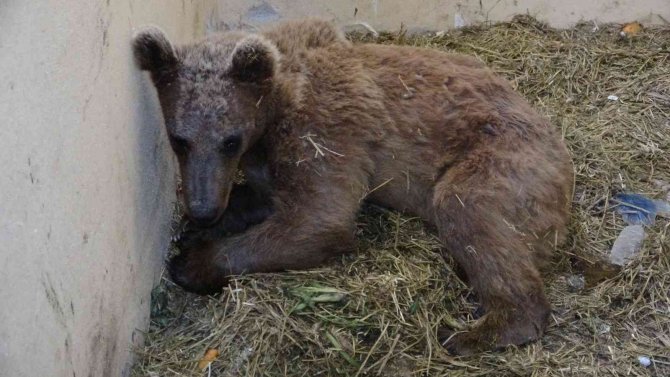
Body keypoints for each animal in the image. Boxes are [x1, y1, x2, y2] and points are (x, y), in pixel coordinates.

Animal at [134, 19, 576, 354]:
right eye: (179, 139)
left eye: (230, 140)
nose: (203, 207)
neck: (273, 108)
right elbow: (267, 197)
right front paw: (200, 229)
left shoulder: (323, 130)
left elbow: (319, 219)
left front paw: (192, 261)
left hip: (505, 157)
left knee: (473, 212)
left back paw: (473, 331)